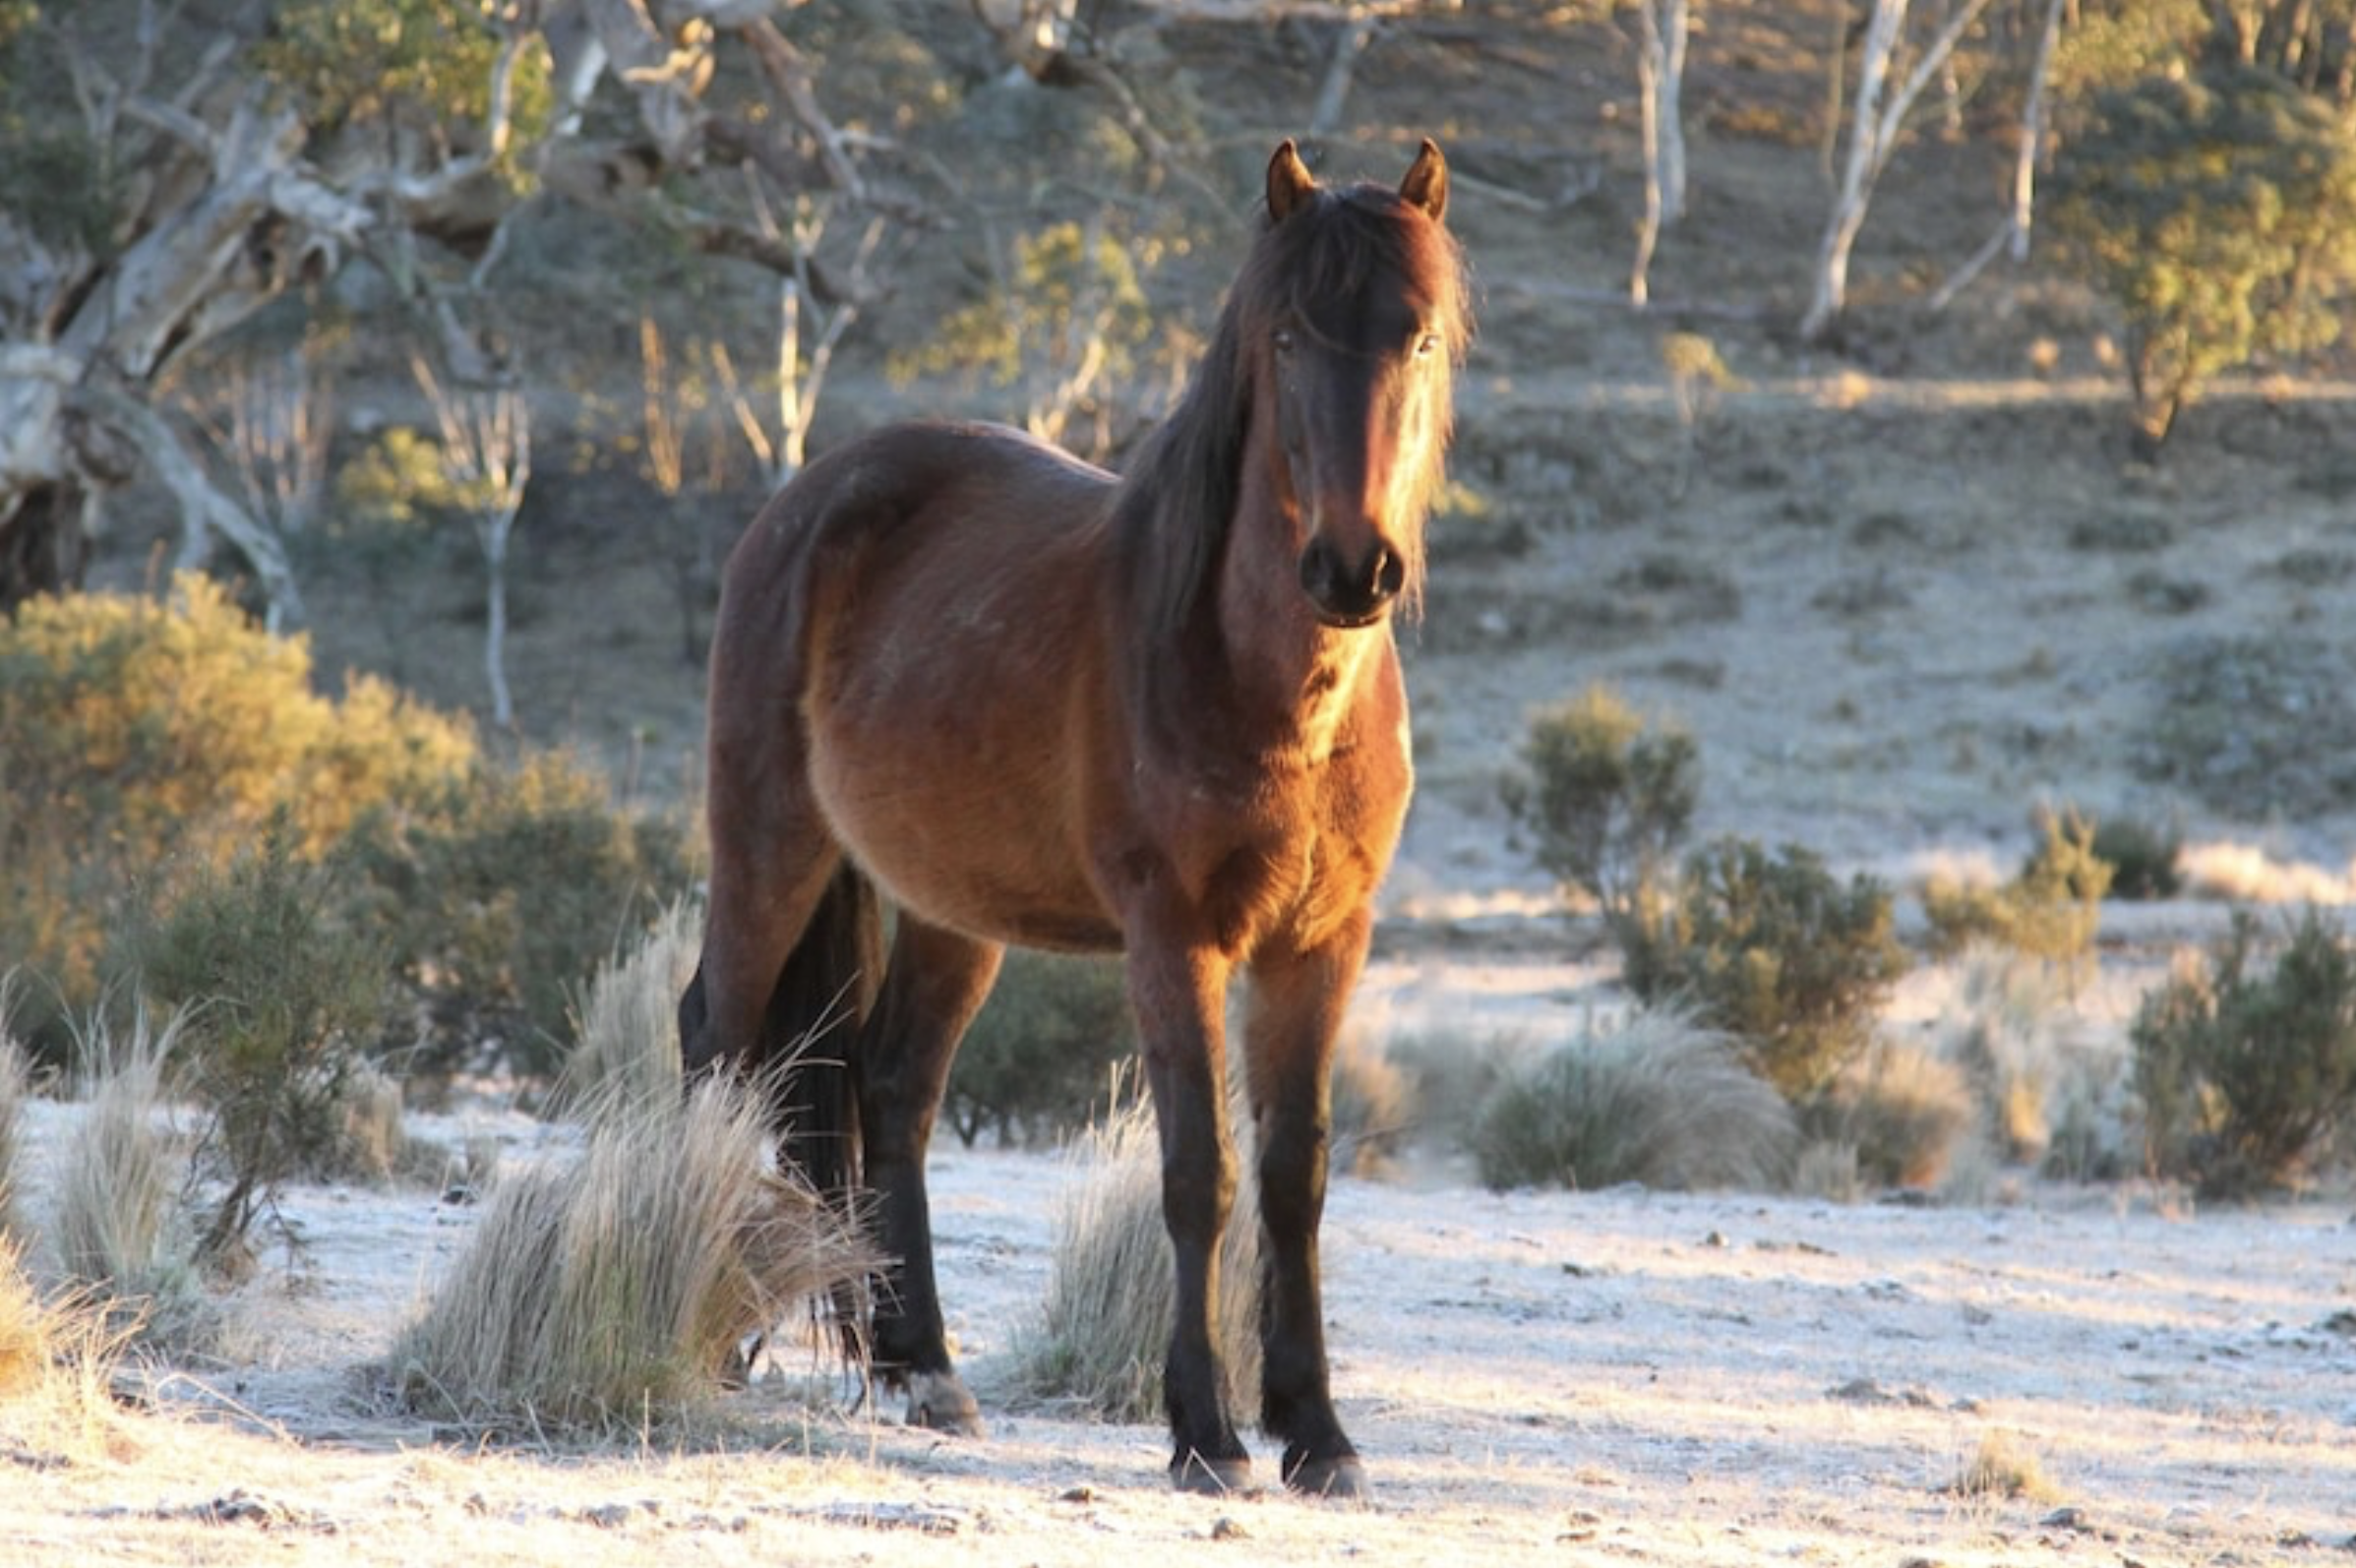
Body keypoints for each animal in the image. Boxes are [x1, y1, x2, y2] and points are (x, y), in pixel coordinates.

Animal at [673, 141, 1460, 1497]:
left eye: (1414, 336)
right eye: (1288, 335)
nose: (1353, 570)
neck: (1262, 687)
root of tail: (808, 496)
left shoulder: (1322, 944)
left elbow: (1294, 1175)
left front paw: (1317, 1433)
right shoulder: (1174, 938)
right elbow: (1198, 1173)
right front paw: (1206, 1434)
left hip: (950, 909)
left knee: (892, 1085)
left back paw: (924, 1372)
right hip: (771, 849)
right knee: (718, 1045)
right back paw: (713, 1330)